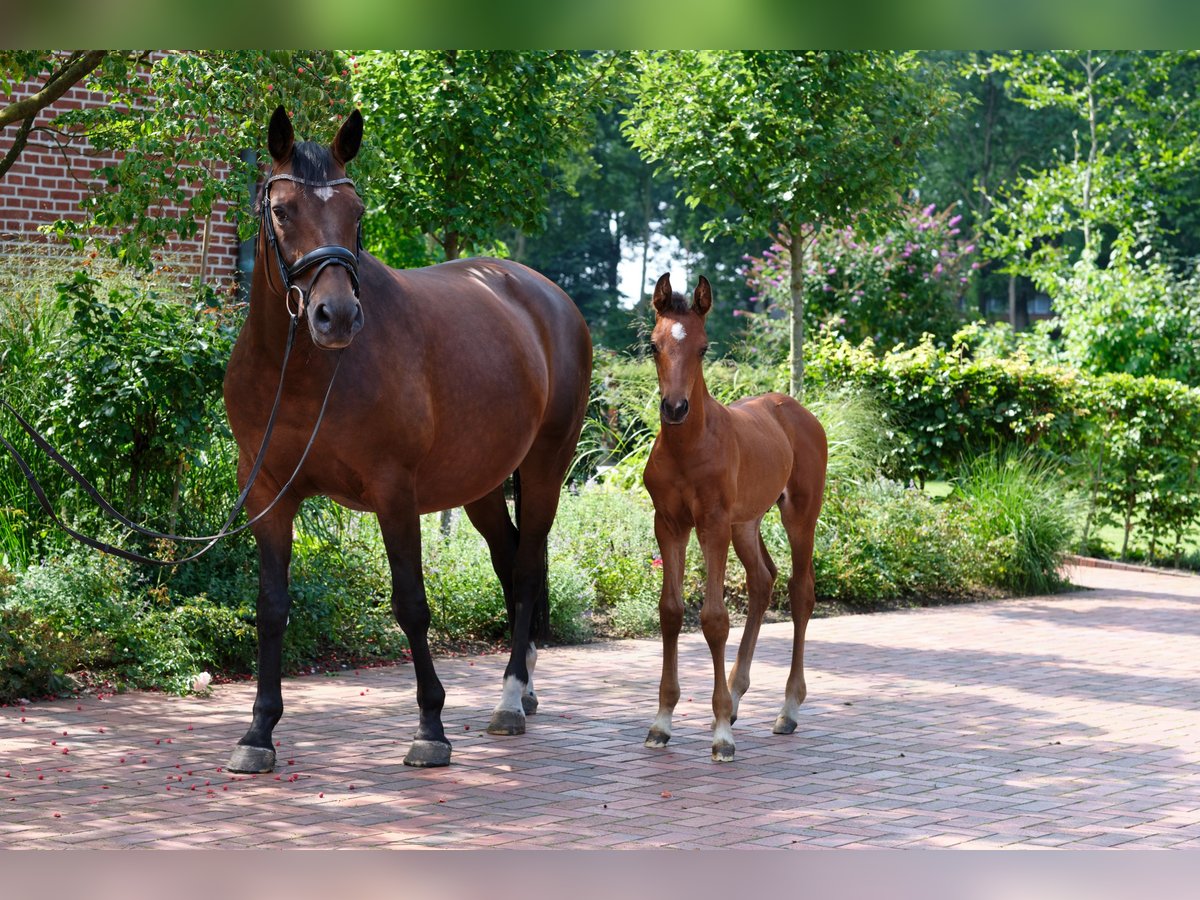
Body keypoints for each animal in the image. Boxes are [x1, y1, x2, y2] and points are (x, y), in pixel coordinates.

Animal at [643, 273, 830, 763]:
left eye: (704, 347)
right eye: (653, 345)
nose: (675, 408)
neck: (688, 447)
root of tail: (796, 408)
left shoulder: (710, 525)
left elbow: (713, 619)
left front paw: (721, 734)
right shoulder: (668, 524)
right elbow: (671, 611)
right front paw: (662, 722)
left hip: (800, 514)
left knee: (800, 591)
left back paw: (787, 709)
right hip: (745, 523)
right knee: (763, 580)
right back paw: (738, 694)